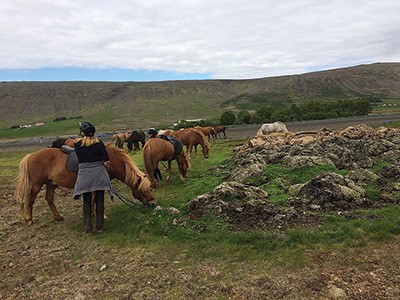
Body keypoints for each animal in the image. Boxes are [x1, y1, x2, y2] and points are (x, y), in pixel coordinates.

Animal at [14, 145, 155, 225]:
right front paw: (102, 216)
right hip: (36, 184)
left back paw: (57, 217)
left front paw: (92, 213)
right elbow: (96, 199)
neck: (109, 162)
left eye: (149, 189)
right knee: (30, 200)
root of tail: (31, 155)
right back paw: (29, 219)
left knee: (49, 198)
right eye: (142, 190)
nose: (153, 203)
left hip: (51, 184)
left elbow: (92, 199)